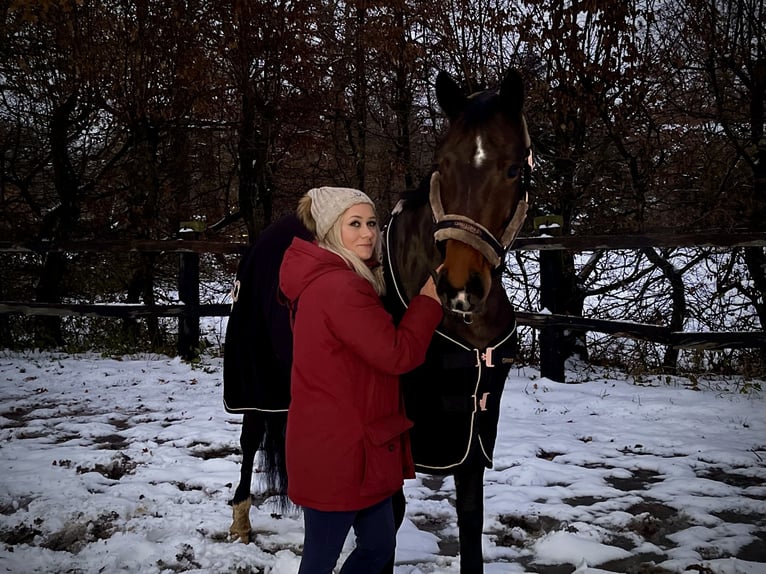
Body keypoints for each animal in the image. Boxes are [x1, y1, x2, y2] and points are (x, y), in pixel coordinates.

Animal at [225, 68, 532, 574]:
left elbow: (470, 524)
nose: (459, 286)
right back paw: (241, 521)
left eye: (512, 170)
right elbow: (389, 520)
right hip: (256, 383)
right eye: (442, 164)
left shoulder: (471, 440)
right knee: (250, 439)